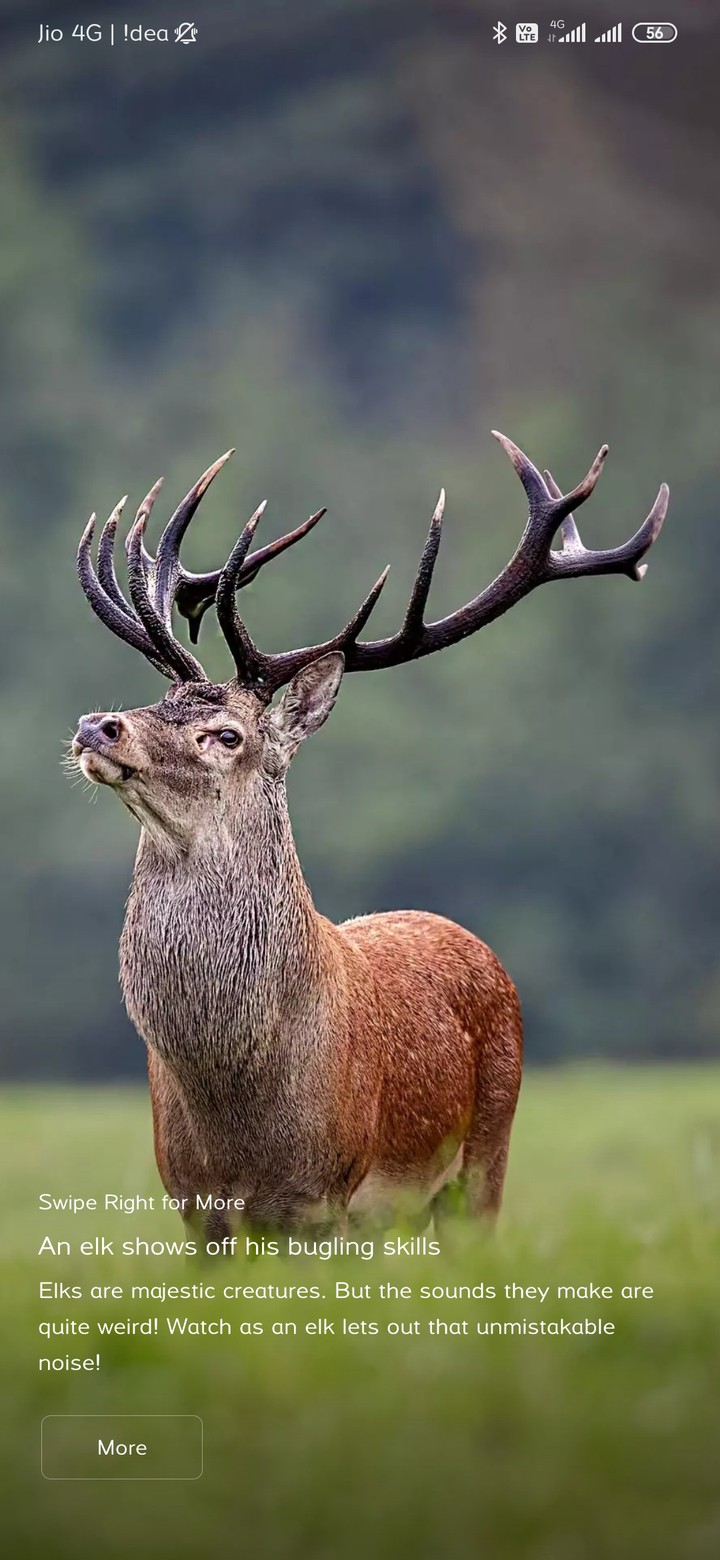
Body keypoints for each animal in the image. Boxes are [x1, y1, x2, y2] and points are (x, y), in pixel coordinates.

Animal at [71, 433, 667, 1243]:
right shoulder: (193, 1206)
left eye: (226, 734)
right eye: (158, 699)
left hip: (484, 1160)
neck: (238, 1110)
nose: (96, 724)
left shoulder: (324, 1198)